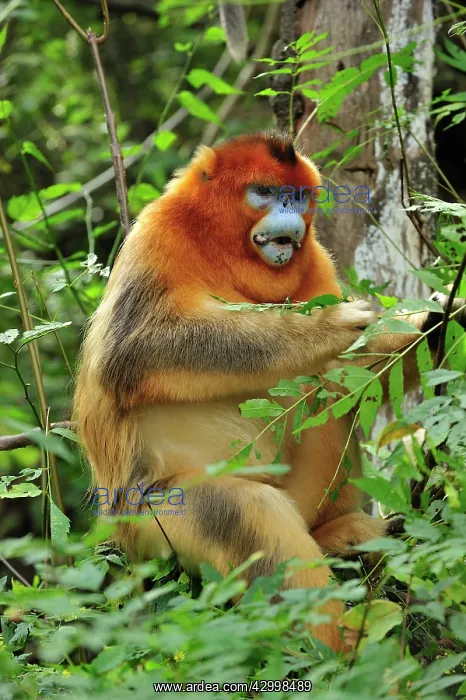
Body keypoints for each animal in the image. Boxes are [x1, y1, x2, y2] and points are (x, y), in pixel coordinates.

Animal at [74, 132, 463, 653]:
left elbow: (346, 381)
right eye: (264, 192)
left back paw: (338, 534)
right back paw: (338, 655)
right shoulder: (158, 235)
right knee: (246, 514)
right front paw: (326, 327)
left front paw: (440, 321)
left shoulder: (313, 258)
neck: (223, 248)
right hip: (151, 524)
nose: (288, 214)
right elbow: (132, 352)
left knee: (323, 399)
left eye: (296, 196)